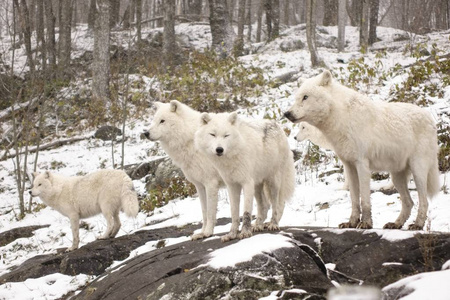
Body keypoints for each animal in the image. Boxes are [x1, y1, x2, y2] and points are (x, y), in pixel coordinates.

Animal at [146, 99, 225, 240]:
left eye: (162, 121)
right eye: (154, 120)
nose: (145, 133)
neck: (190, 139)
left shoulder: (211, 184)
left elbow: (210, 212)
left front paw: (208, 232)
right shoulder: (200, 186)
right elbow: (204, 212)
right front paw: (201, 233)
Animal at [194, 112, 296, 241]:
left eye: (226, 135)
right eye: (212, 134)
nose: (219, 149)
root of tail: (276, 124)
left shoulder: (247, 183)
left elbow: (246, 212)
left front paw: (245, 232)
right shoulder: (232, 186)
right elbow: (234, 213)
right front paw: (232, 234)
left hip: (273, 182)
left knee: (276, 205)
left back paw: (273, 224)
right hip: (257, 186)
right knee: (263, 206)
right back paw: (258, 225)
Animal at [284, 70, 440, 230]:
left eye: (305, 97)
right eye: (297, 98)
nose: (287, 113)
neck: (342, 118)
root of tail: (430, 119)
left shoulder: (362, 164)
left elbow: (364, 198)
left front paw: (365, 223)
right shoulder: (349, 165)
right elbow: (354, 199)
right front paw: (351, 222)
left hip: (418, 170)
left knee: (424, 201)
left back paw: (417, 225)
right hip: (397, 176)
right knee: (409, 202)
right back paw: (396, 224)